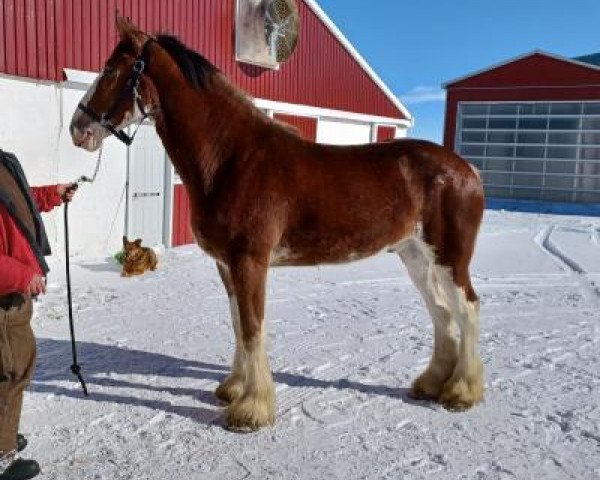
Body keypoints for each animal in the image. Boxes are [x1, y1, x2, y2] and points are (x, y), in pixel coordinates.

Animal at [70, 15, 486, 432]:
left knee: (467, 309)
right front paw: (234, 389)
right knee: (441, 312)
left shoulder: (250, 261)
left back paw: (461, 392)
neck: (231, 158)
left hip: (450, 257)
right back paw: (431, 383)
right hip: (414, 254)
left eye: (111, 70)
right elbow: (238, 324)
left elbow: (253, 327)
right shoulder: (227, 265)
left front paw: (252, 410)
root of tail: (467, 169)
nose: (77, 128)